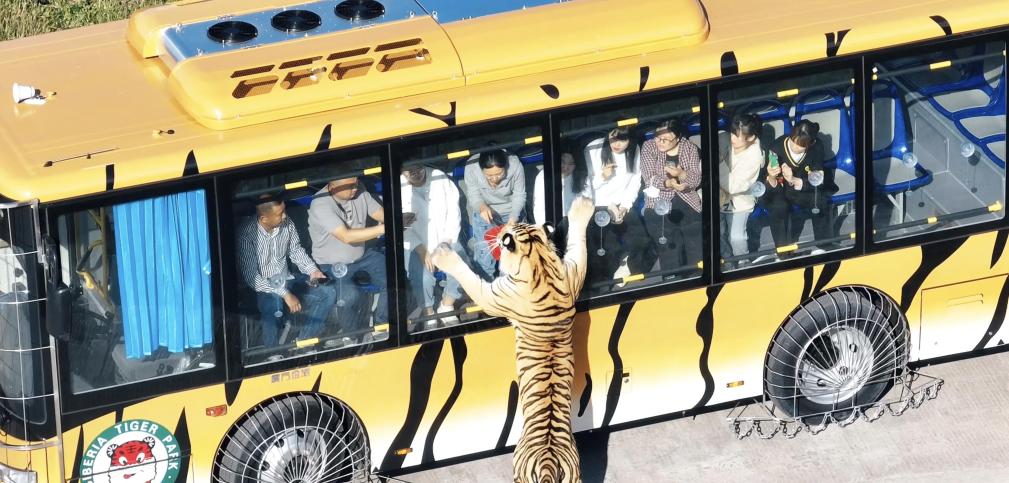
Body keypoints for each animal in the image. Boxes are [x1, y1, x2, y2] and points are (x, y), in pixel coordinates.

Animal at [432, 196, 594, 483]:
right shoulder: (573, 274)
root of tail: (549, 462)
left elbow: (469, 278)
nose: (499, 232)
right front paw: (584, 206)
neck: (538, 256)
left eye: (509, 231)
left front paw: (443, 255)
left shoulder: (492, 295)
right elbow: (578, 245)